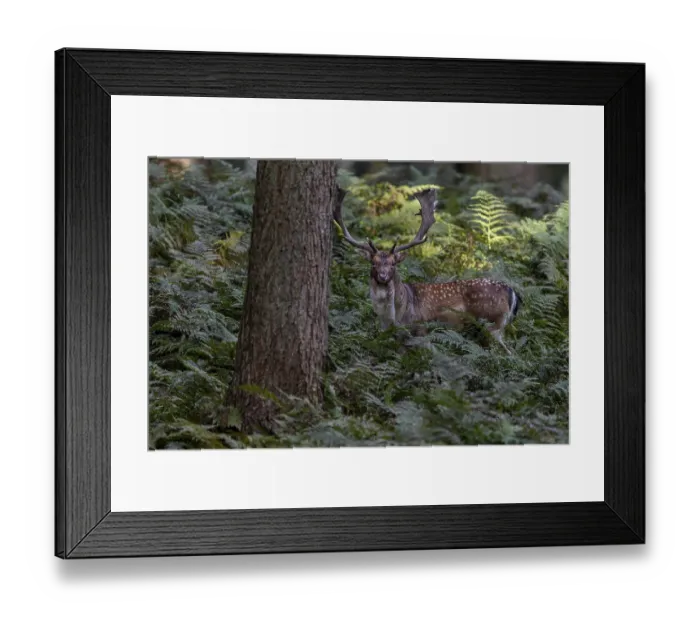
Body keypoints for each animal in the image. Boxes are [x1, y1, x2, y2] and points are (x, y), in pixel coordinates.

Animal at [333, 187, 521, 354]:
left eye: (393, 264)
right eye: (373, 263)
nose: (383, 276)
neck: (393, 316)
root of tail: (511, 292)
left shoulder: (419, 329)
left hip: (493, 322)